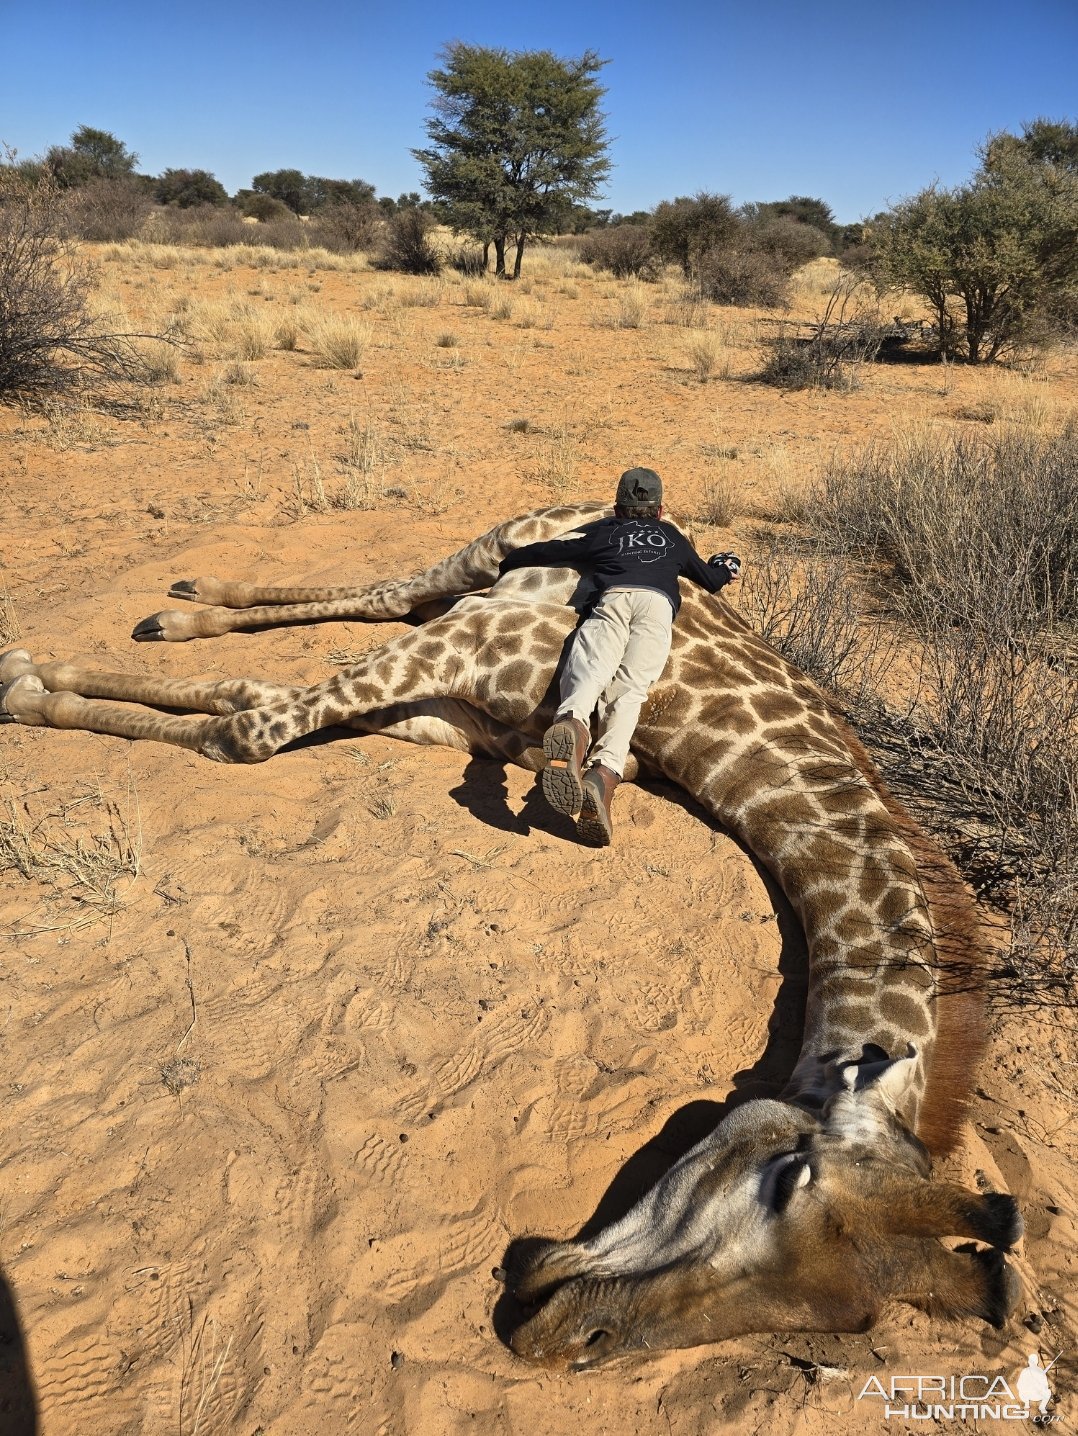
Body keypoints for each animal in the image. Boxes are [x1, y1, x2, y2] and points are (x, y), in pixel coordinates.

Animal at [0, 505, 1022, 1367]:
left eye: (851, 1316)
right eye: (788, 1179)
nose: (571, 1337)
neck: (681, 723)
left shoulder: (458, 719)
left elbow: (245, 707)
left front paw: (46, 681)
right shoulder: (463, 647)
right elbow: (246, 728)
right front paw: (27, 682)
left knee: (373, 605)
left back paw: (184, 608)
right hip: (489, 552)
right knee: (391, 590)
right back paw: (176, 608)